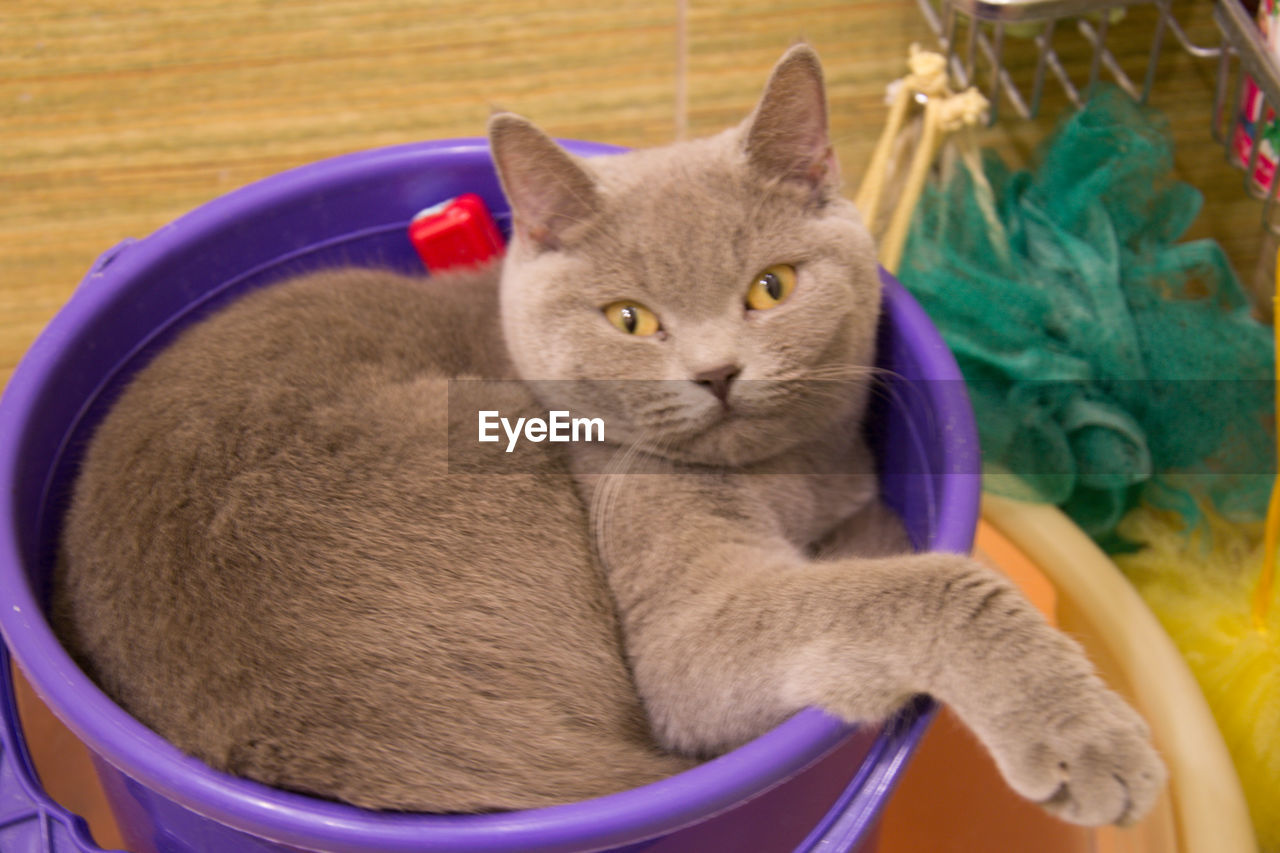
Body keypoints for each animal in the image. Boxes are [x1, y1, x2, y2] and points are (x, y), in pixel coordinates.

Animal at [57, 46, 1162, 824]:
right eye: (629, 318)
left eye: (770, 288)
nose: (716, 372)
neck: (790, 476)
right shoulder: (680, 618)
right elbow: (928, 582)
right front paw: (1091, 741)